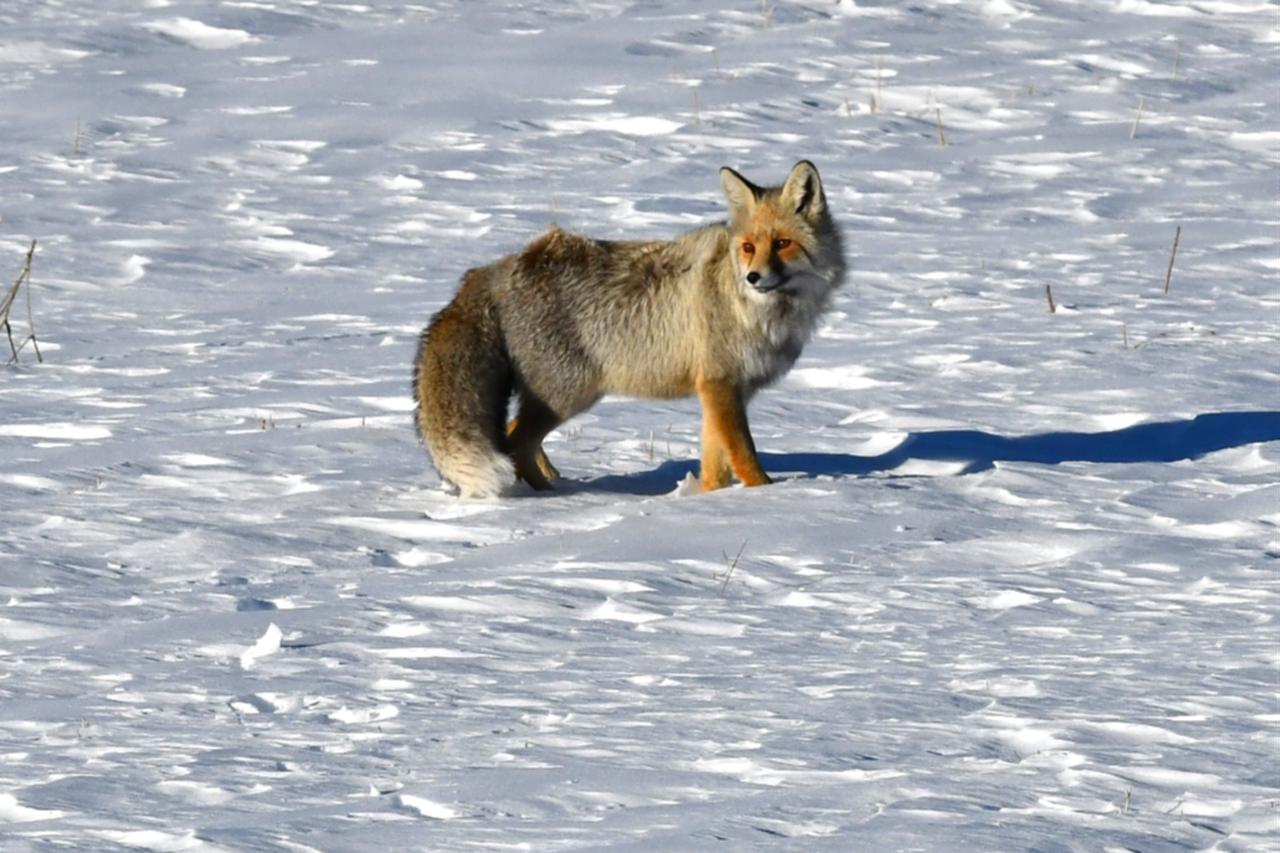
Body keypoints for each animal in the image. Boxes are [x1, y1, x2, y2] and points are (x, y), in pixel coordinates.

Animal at [413, 160, 846, 498]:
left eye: (783, 243)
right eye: (748, 248)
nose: (753, 278)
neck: (758, 312)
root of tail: (490, 271)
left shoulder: (721, 390)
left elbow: (715, 465)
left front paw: (708, 501)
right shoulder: (720, 384)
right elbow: (746, 456)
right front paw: (765, 498)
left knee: (514, 439)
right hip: (567, 395)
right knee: (514, 442)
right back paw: (553, 498)